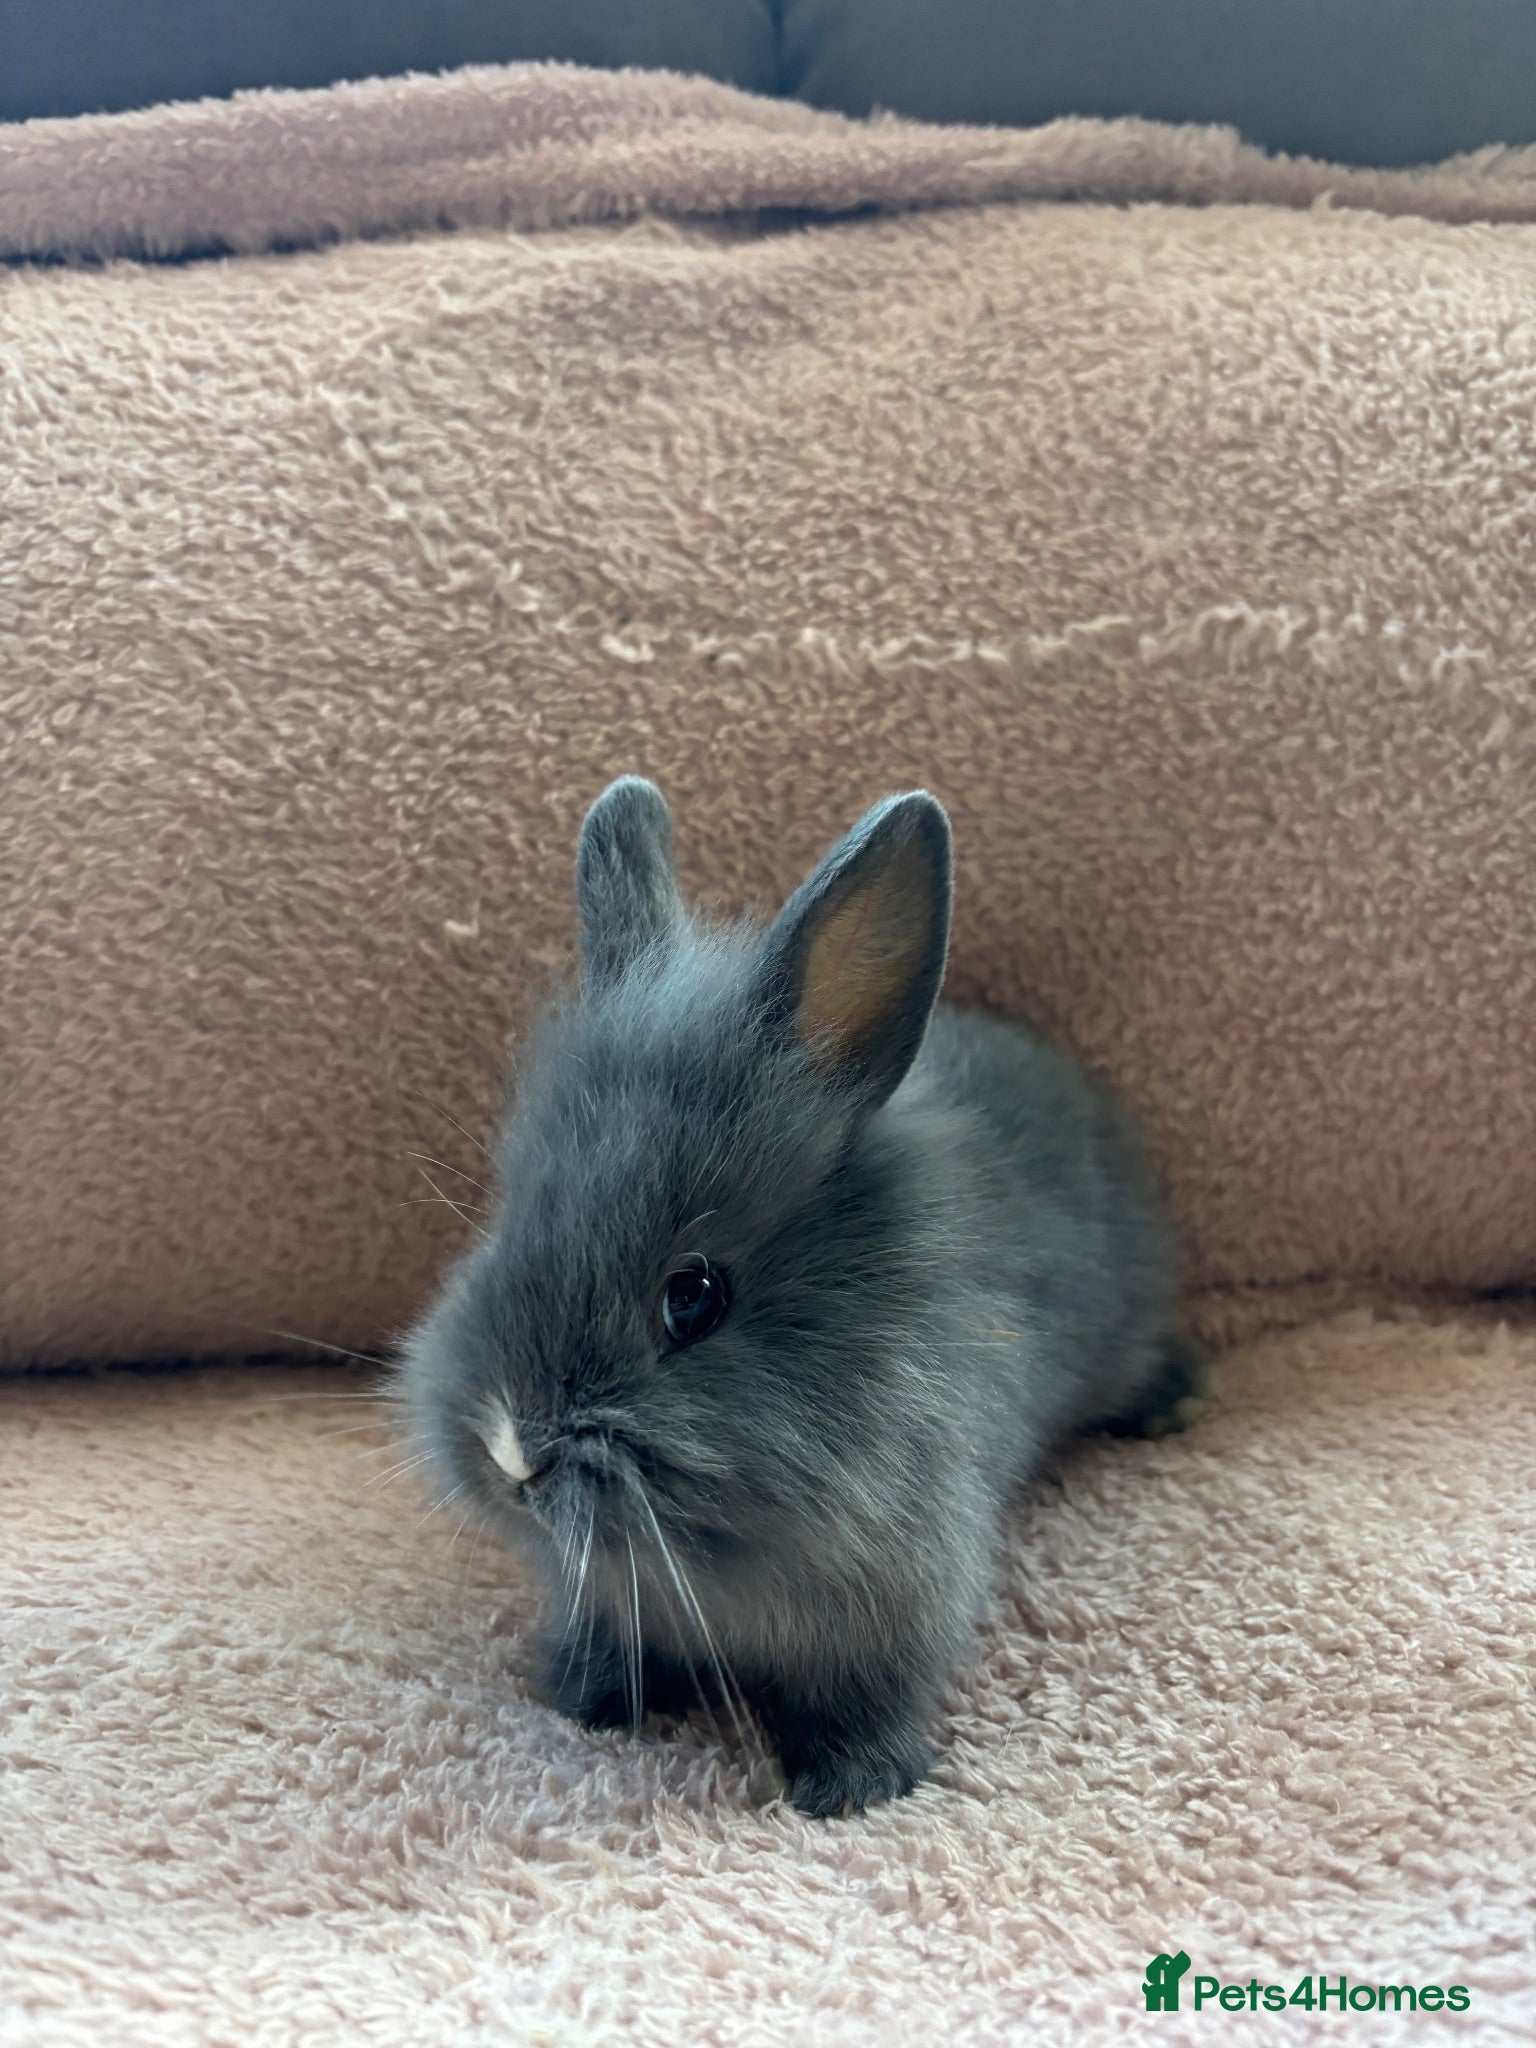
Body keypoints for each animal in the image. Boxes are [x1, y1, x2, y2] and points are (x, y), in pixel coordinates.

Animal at [398, 776, 1207, 1818]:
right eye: (504, 1220)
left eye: (693, 1295)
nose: (511, 1452)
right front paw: (582, 1698)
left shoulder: (906, 1597)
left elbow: (875, 1697)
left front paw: (850, 1788)